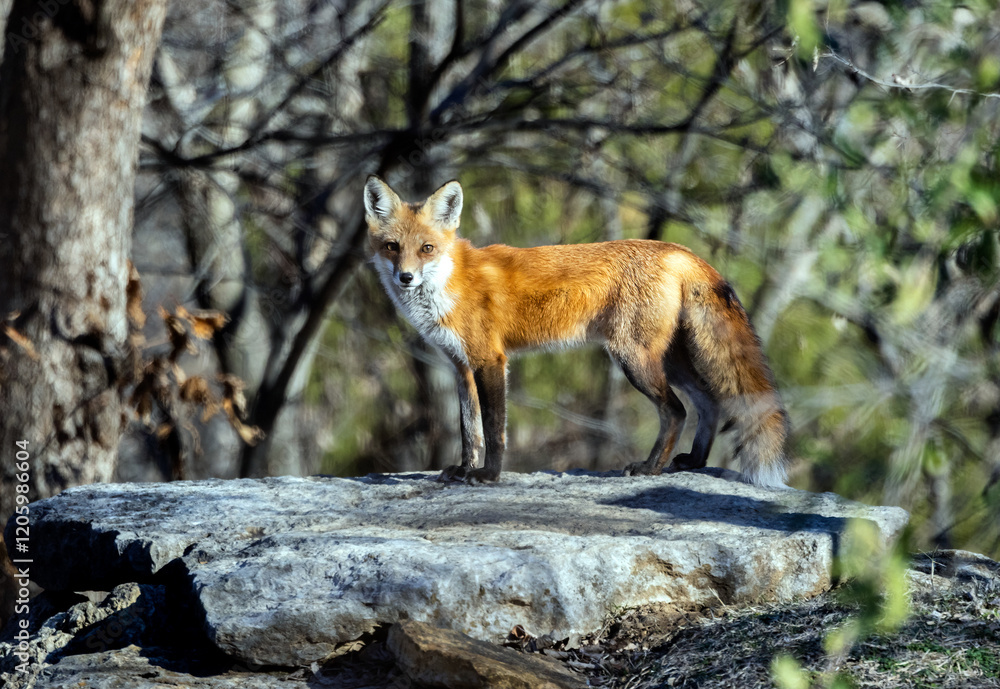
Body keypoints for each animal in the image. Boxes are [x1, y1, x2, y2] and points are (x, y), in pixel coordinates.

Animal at [363, 175, 789, 487]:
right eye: (392, 246)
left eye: (427, 249)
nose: (405, 277)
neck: (449, 285)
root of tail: (678, 250)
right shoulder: (461, 366)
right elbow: (470, 430)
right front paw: (464, 470)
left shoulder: (490, 360)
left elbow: (494, 428)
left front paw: (488, 476)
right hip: (671, 360)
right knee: (708, 402)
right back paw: (695, 462)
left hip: (634, 359)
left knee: (676, 410)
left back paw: (650, 468)